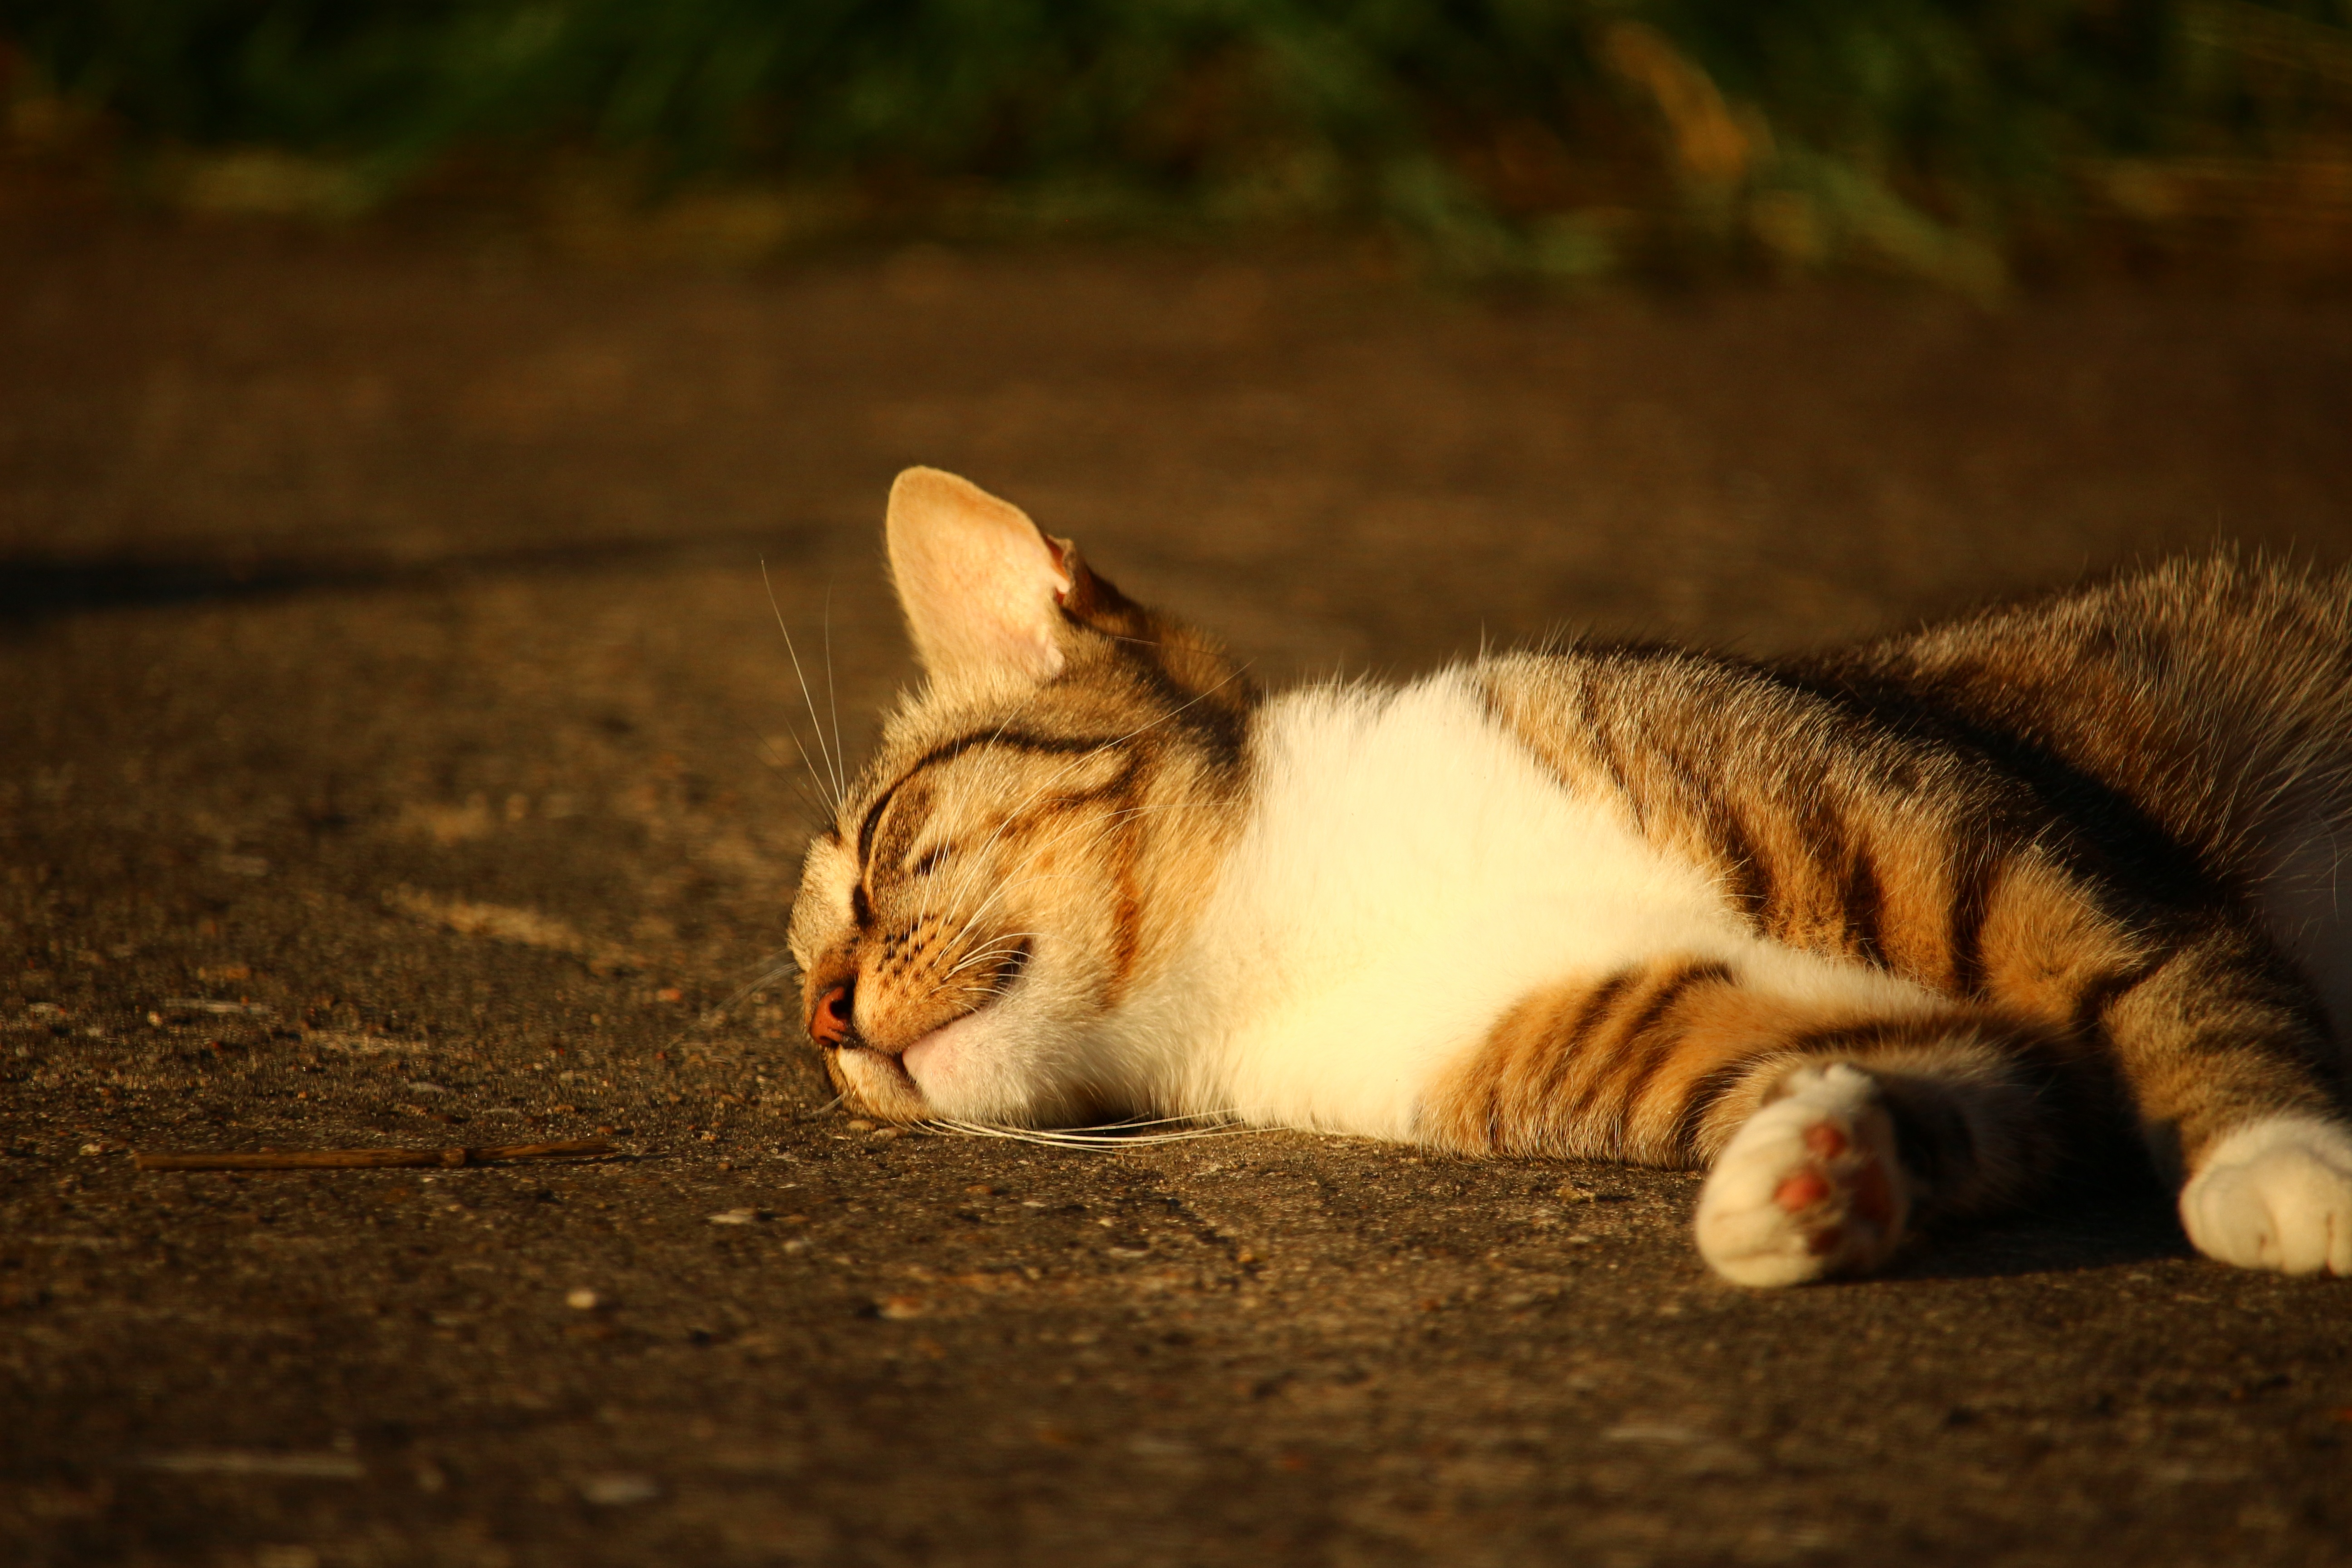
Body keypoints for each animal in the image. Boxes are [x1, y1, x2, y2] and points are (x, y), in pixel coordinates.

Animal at [790, 470, 2352, 1288]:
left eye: (885, 845)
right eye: (799, 999)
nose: (825, 1016)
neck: (1283, 933)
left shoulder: (1983, 846)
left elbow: (2164, 979)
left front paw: (2278, 1159)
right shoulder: (1628, 1020)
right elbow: (1969, 1085)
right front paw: (1814, 1169)